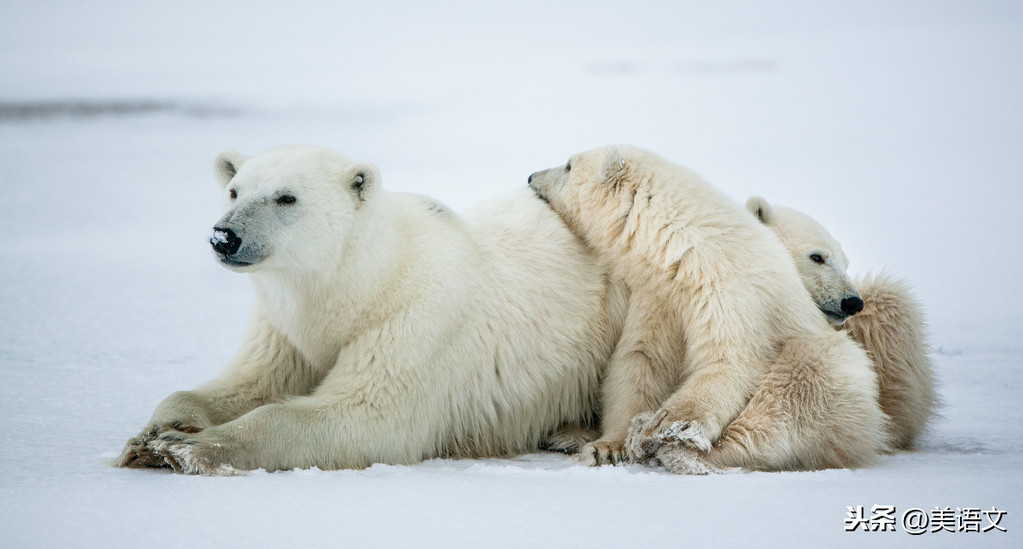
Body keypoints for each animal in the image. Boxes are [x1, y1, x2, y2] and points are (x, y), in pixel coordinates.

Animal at [114, 145, 621, 474]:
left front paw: (185, 447)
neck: (364, 282)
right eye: (235, 190)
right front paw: (158, 430)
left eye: (286, 197)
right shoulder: (284, 329)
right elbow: (250, 383)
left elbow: (365, 417)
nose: (224, 237)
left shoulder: (415, 320)